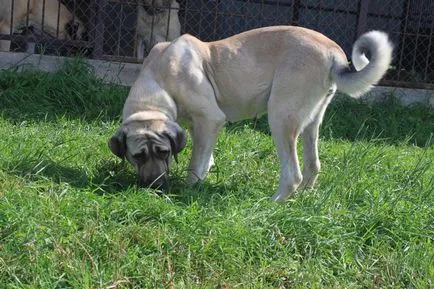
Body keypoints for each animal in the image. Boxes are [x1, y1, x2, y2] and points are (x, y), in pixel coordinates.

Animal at [109, 25, 394, 200]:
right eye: (137, 156)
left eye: (163, 152)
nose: (154, 186)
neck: (157, 82)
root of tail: (333, 53)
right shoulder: (199, 126)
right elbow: (205, 156)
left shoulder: (210, 119)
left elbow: (194, 163)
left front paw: (190, 188)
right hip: (311, 123)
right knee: (313, 165)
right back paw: (303, 198)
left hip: (280, 117)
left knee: (293, 173)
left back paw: (274, 202)